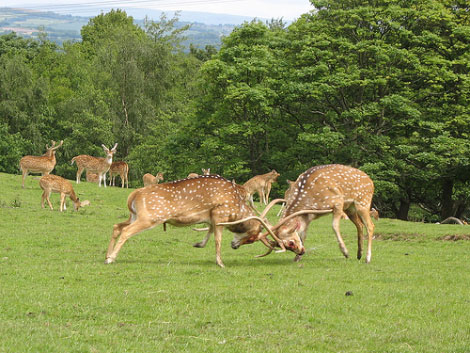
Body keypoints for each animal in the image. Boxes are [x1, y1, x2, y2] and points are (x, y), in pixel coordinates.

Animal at [103, 173, 302, 266]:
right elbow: (217, 239)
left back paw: (106, 255)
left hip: (134, 215)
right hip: (150, 217)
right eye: (252, 237)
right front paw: (221, 263)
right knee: (126, 231)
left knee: (116, 226)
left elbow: (210, 231)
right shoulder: (221, 214)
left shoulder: (211, 216)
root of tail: (134, 195)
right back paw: (111, 258)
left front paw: (198, 244)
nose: (235, 246)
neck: (236, 207)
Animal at [219, 164, 374, 262]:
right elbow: (304, 232)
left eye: (291, 243)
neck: (309, 198)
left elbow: (334, 226)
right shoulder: (308, 215)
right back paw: (359, 254)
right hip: (351, 208)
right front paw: (297, 259)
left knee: (370, 226)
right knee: (360, 225)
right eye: (288, 246)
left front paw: (345, 252)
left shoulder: (337, 203)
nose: (301, 251)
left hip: (363, 202)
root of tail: (370, 180)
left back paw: (367, 258)